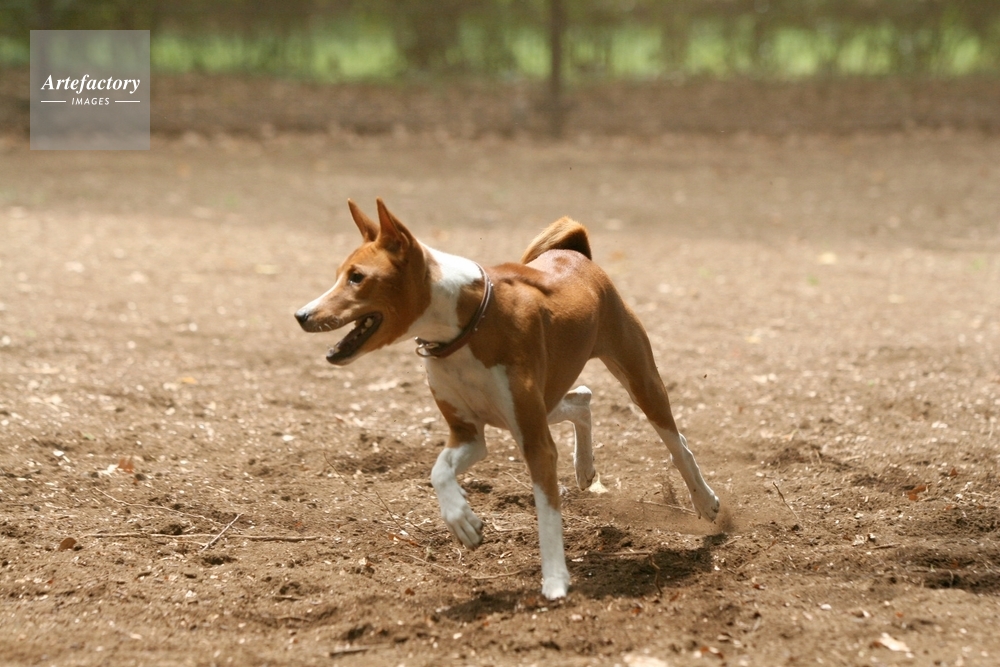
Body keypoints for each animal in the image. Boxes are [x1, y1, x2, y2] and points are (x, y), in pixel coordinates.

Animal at [295, 199, 720, 599]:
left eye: (357, 277)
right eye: (339, 275)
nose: (301, 314)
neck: (466, 329)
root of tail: (576, 255)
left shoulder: (534, 443)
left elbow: (547, 514)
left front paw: (555, 581)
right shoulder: (469, 434)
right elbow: (439, 472)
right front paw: (463, 521)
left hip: (639, 380)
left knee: (677, 443)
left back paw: (704, 501)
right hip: (542, 403)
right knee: (582, 399)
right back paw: (585, 468)